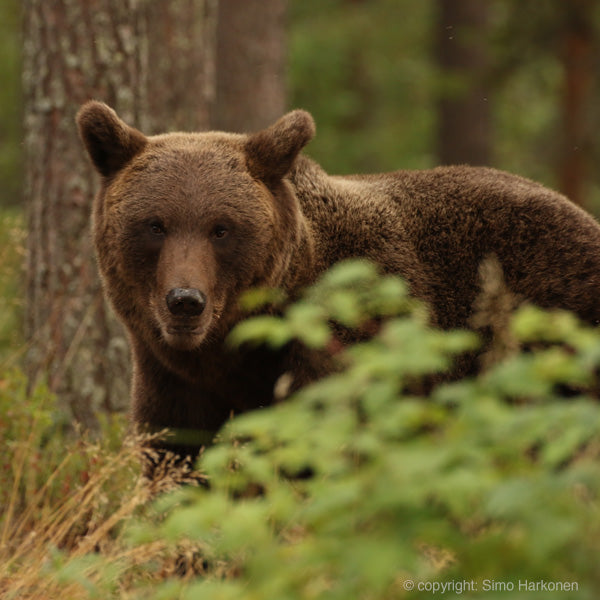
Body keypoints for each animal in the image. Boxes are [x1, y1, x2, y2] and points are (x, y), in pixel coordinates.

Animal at [77, 103, 600, 458]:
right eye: (155, 225)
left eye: (221, 228)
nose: (185, 300)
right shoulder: (173, 376)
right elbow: (176, 455)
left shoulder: (348, 341)